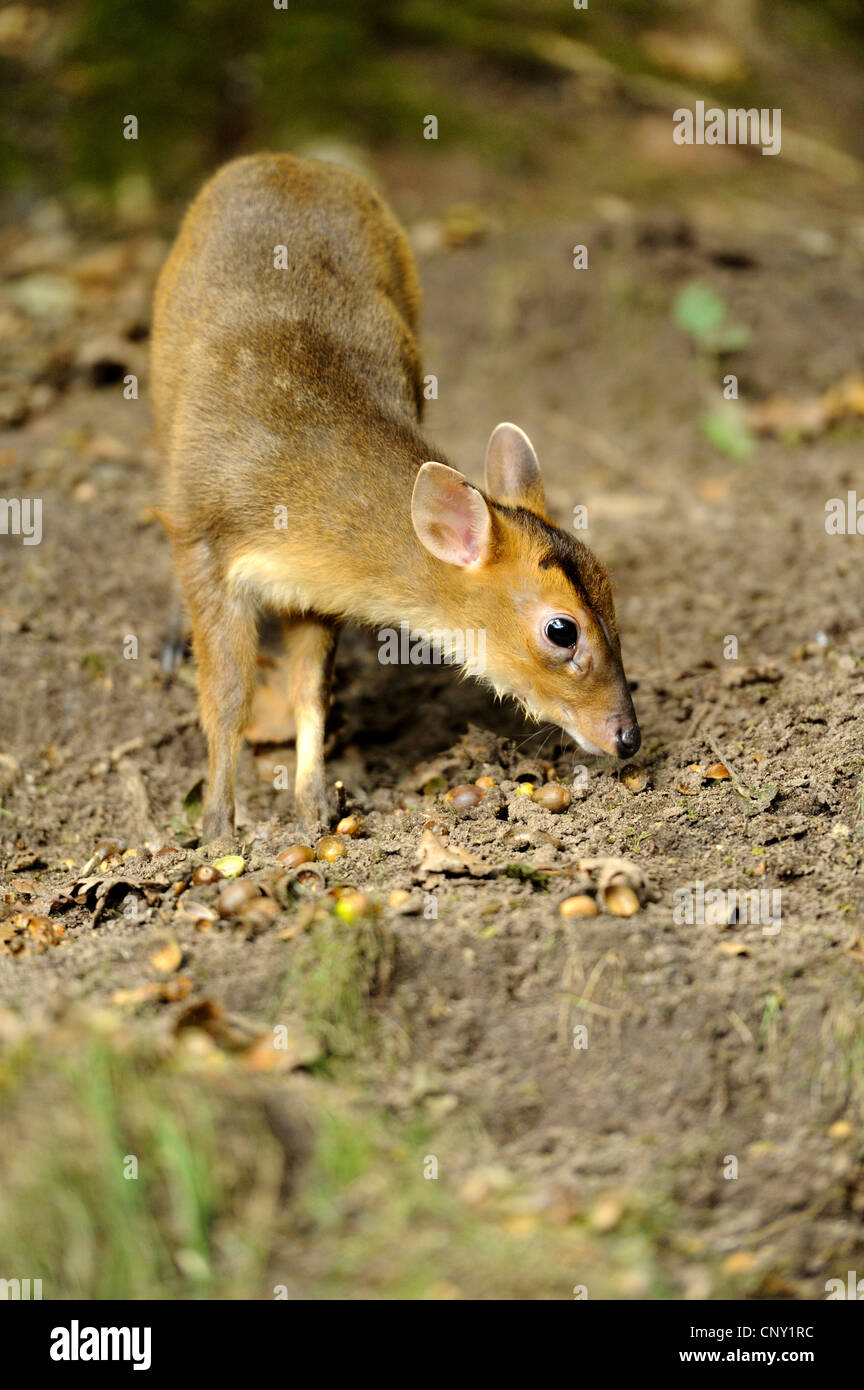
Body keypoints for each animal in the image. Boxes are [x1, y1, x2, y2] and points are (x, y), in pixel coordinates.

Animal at [152, 157, 638, 839]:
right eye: (561, 630)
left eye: (612, 590)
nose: (627, 736)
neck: (291, 495)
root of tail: (289, 161)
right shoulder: (206, 534)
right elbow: (226, 698)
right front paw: (218, 827)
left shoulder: (312, 590)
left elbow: (310, 691)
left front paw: (314, 808)